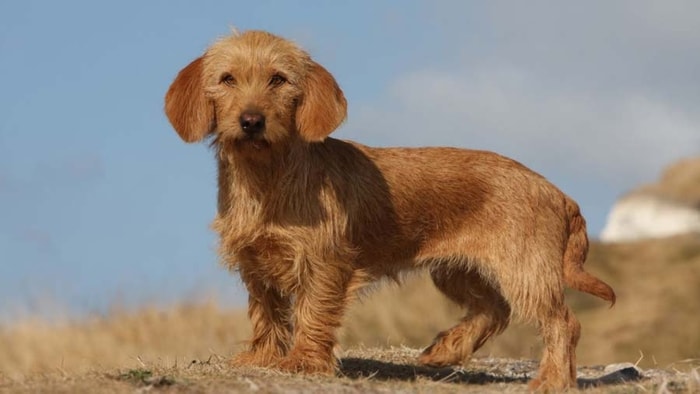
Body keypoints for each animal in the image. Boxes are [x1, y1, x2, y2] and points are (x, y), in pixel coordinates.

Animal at [163, 29, 612, 390]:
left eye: (278, 79)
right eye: (227, 79)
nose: (251, 120)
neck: (267, 178)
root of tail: (557, 191)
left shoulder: (325, 263)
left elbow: (312, 311)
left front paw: (304, 360)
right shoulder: (255, 263)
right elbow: (267, 313)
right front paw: (264, 357)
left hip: (525, 272)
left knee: (562, 322)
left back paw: (552, 379)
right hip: (456, 271)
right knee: (494, 310)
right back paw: (446, 350)